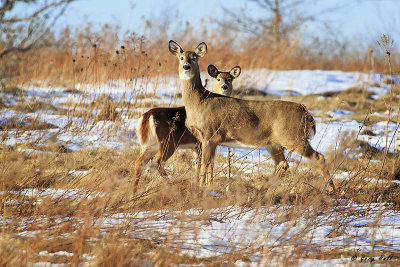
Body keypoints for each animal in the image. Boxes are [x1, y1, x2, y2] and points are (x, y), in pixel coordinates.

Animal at [167, 40, 336, 193]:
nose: (186, 66)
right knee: (283, 164)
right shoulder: (209, 139)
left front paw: (201, 190)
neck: (199, 102)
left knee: (318, 157)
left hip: (294, 137)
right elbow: (209, 165)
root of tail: (306, 112)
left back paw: (333, 189)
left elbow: (204, 165)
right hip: (274, 143)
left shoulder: (210, 134)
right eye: (181, 57)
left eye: (194, 58)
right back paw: (261, 192)